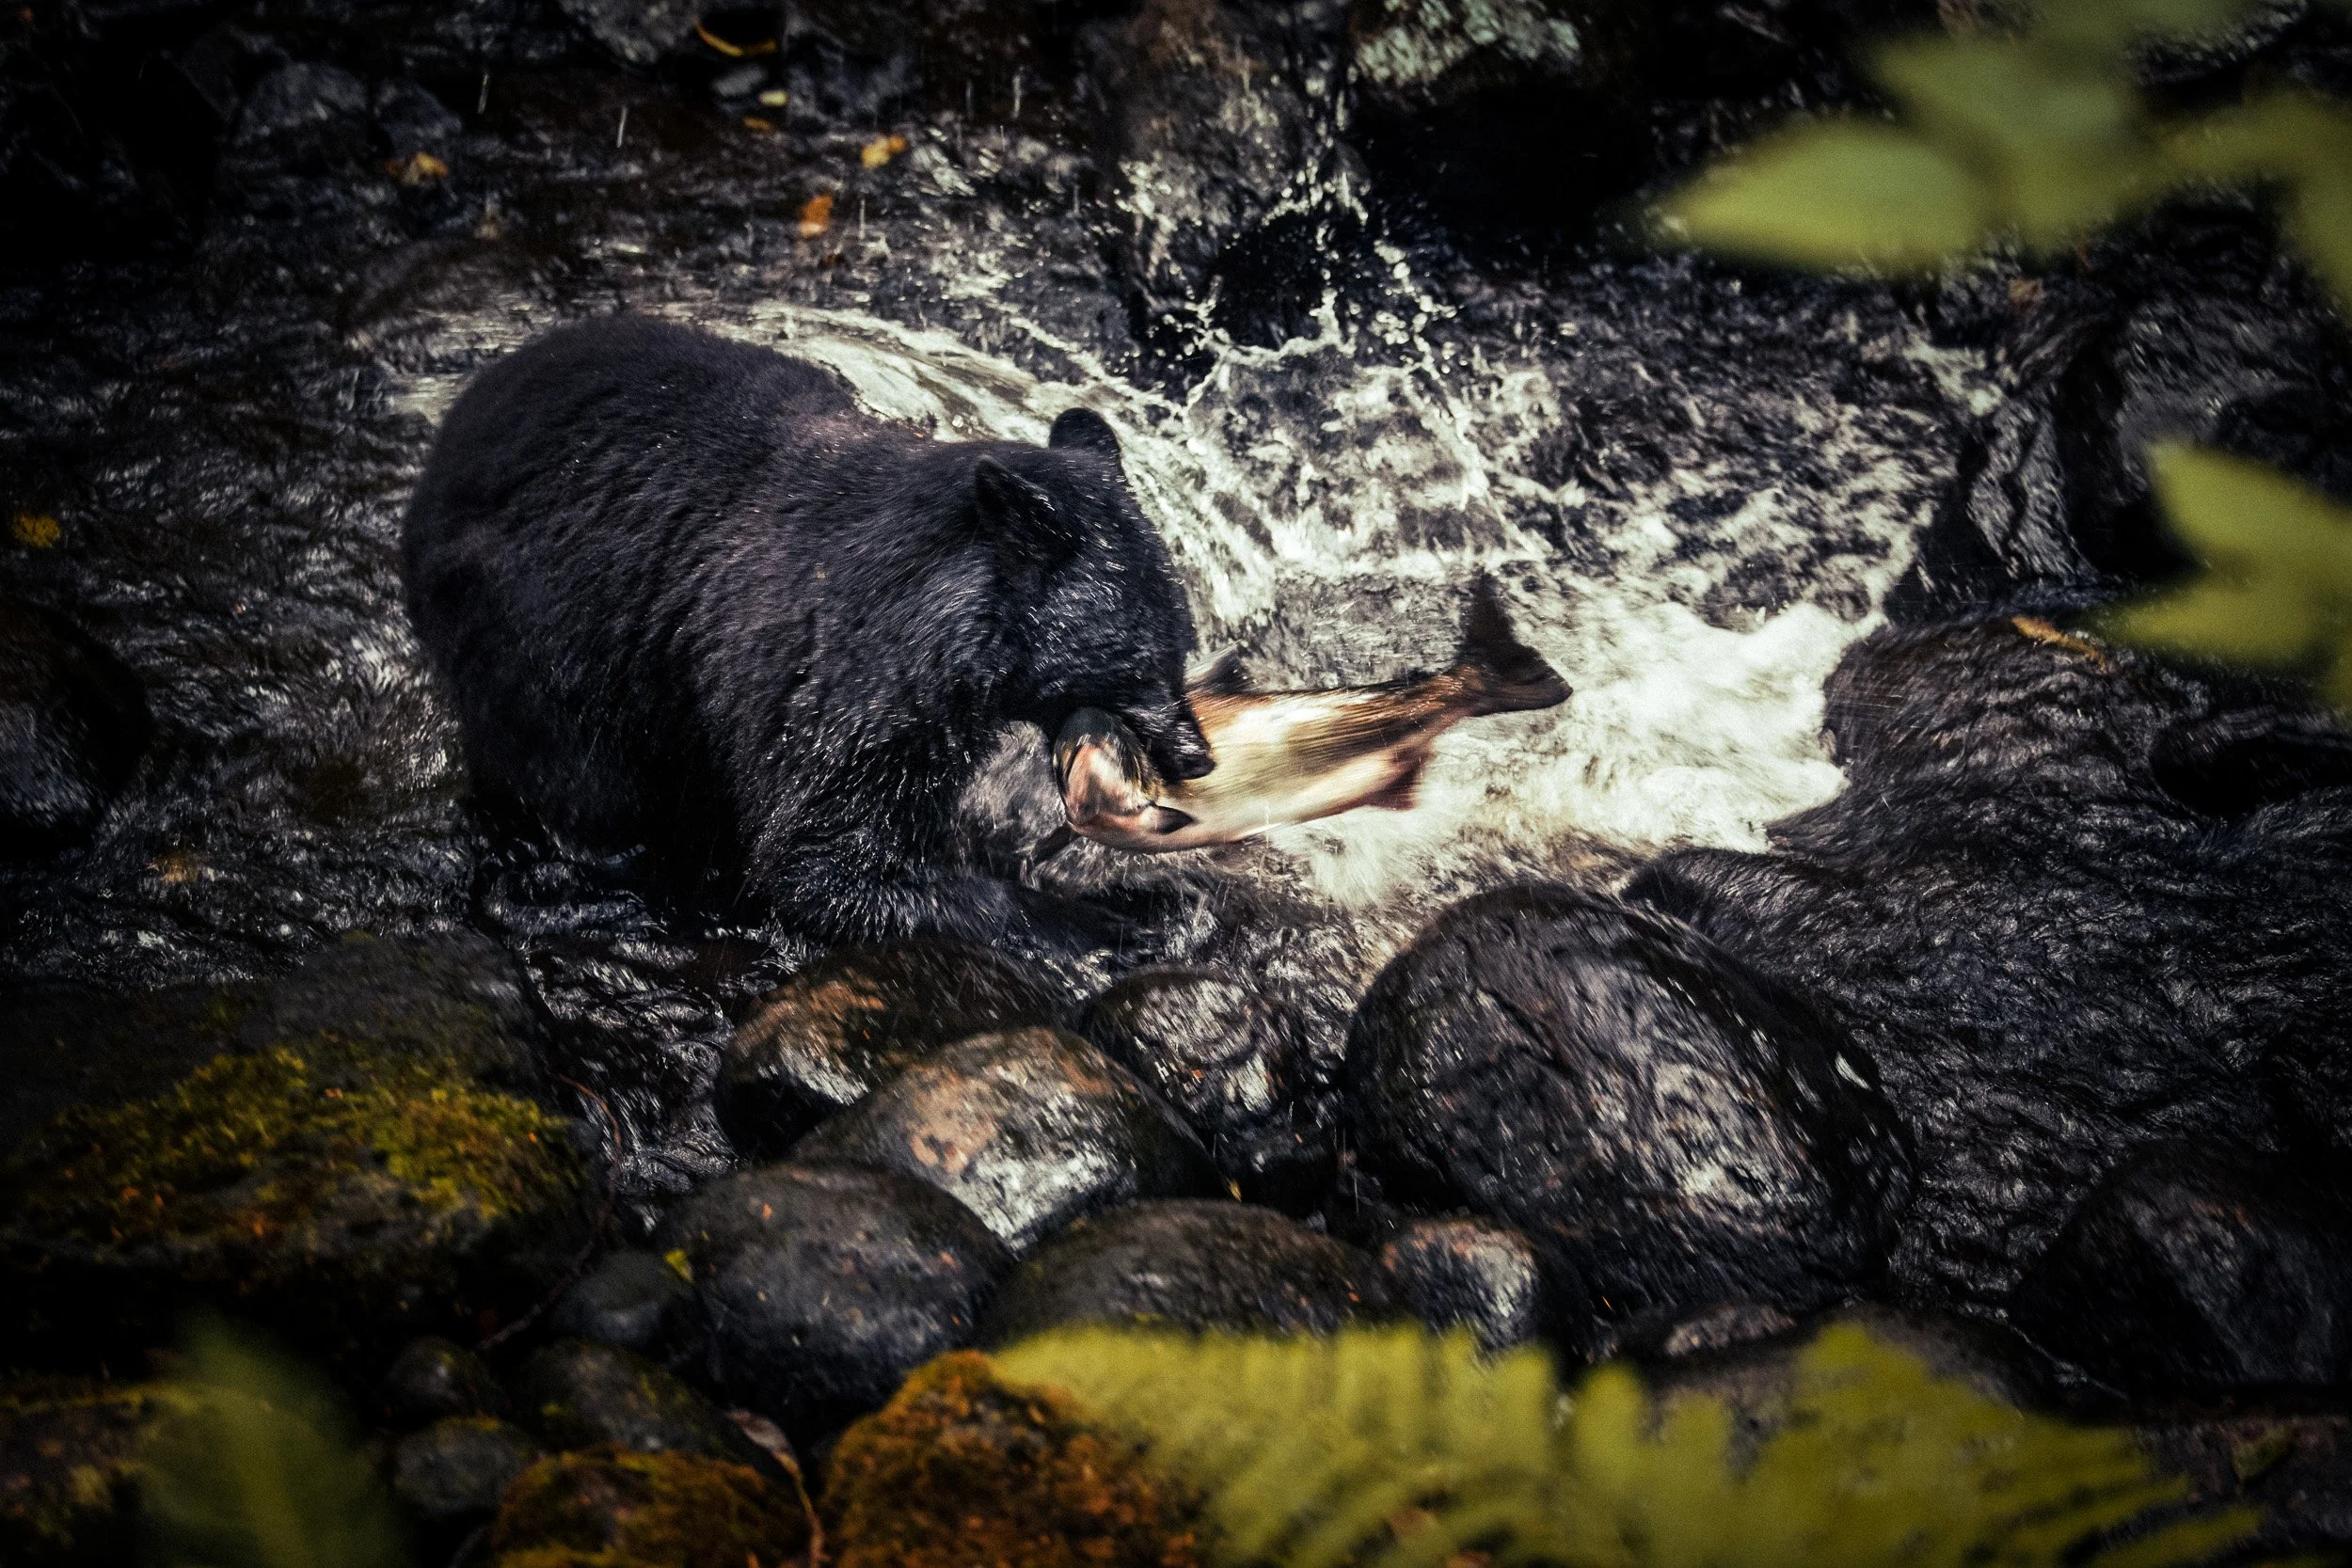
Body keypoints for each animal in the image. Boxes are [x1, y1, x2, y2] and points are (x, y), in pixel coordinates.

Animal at [401, 315, 1211, 947]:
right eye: (1146, 659)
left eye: (1183, 641)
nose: (1199, 755)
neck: (948, 633)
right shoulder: (834, 681)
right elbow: (817, 857)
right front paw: (1107, 919)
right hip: (542, 648)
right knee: (583, 785)